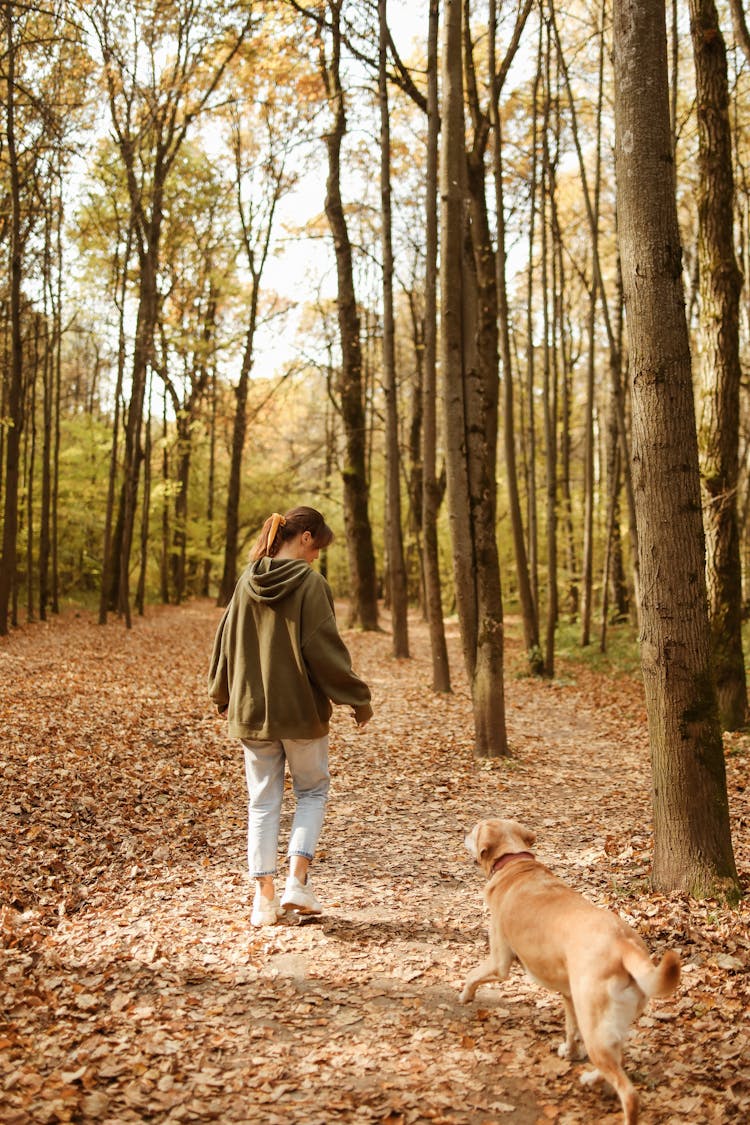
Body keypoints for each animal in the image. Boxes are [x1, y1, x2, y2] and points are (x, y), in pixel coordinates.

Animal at [461, 819, 683, 1125]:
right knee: (617, 1061)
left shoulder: (500, 961)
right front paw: (569, 1051)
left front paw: (465, 995)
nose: (463, 834)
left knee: (629, 1093)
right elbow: (569, 1029)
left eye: (474, 830)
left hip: (595, 1026)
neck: (514, 862)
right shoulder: (568, 996)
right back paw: (591, 1078)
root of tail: (623, 943)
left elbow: (473, 974)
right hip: (608, 1023)